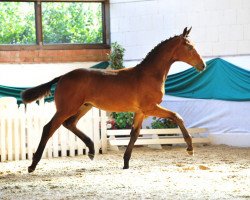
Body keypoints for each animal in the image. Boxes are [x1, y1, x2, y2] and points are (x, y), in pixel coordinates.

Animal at [21, 27, 205, 173]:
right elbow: (177, 116)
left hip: (84, 106)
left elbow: (134, 134)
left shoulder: (140, 112)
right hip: (67, 108)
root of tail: (62, 77)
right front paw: (190, 148)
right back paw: (32, 165)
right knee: (49, 128)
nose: (202, 65)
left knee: (70, 124)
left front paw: (126, 163)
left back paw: (91, 150)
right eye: (189, 47)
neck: (149, 74)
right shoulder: (150, 108)